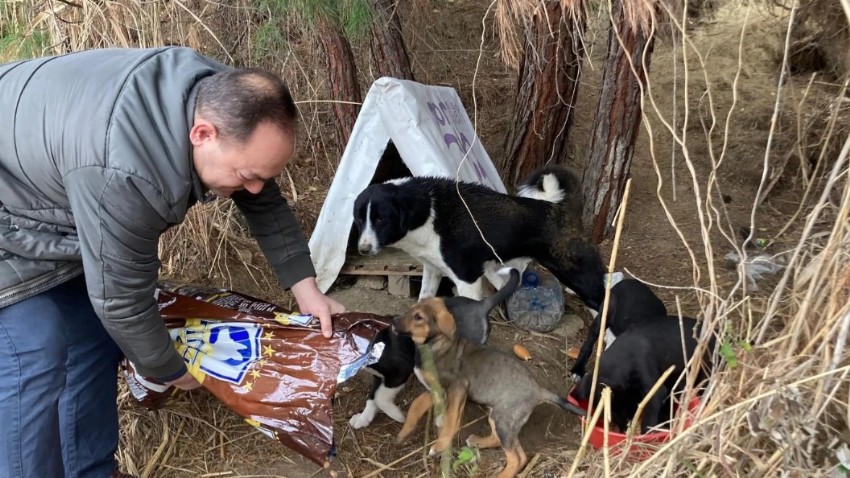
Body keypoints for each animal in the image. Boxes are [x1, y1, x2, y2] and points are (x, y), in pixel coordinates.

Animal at [350, 268, 520, 430]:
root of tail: (481, 305)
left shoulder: (399, 371)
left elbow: (380, 398)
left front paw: (397, 415)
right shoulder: (379, 377)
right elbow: (373, 396)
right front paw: (363, 418)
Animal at [352, 166, 604, 312]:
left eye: (381, 219)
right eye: (359, 219)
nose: (363, 249)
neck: (429, 212)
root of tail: (561, 209)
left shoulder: (468, 279)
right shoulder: (432, 269)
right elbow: (423, 299)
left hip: (579, 276)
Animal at [390, 296, 584, 476]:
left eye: (419, 317)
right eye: (412, 310)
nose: (393, 321)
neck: (434, 344)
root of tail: (538, 390)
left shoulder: (459, 386)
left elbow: (451, 420)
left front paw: (439, 446)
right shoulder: (435, 389)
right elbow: (416, 405)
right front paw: (404, 431)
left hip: (503, 419)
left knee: (516, 458)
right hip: (500, 417)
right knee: (510, 448)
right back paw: (478, 441)